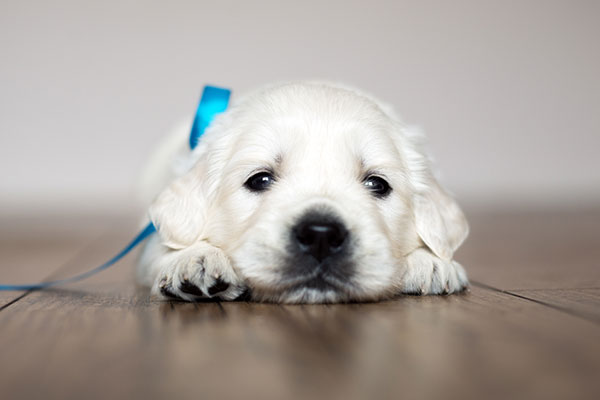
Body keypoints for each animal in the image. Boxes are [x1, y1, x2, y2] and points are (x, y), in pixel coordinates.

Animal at [136, 82, 468, 304]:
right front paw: (196, 258)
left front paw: (431, 262)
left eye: (377, 184)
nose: (321, 235)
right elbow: (162, 247)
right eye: (260, 180)